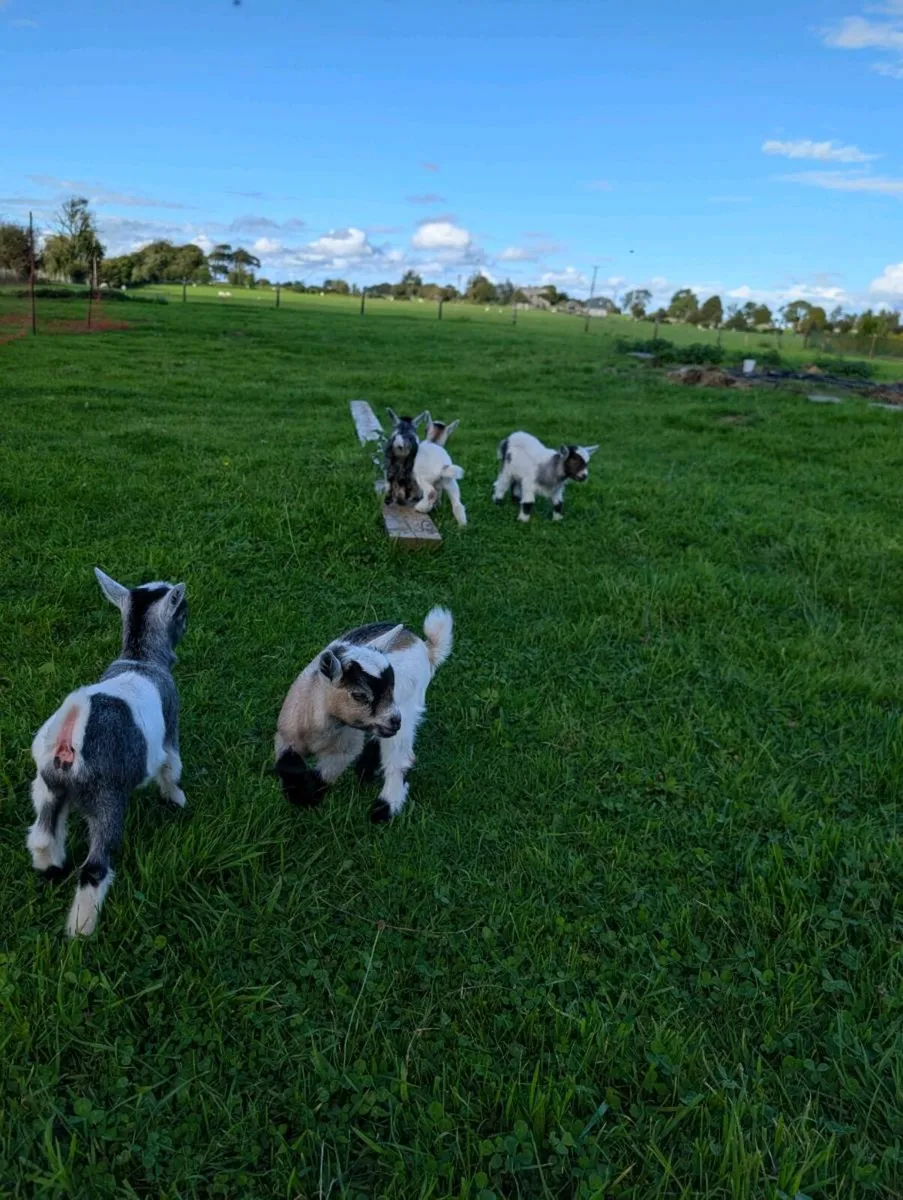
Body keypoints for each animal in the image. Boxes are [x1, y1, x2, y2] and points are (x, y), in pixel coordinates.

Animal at [27, 569, 188, 937]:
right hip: (107, 802)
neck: (141, 659)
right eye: (182, 611)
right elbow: (171, 768)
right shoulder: (171, 728)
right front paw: (176, 798)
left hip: (48, 788)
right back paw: (81, 930)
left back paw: (50, 868)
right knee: (95, 868)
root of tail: (68, 739)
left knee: (42, 836)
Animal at [274, 608, 453, 822]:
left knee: (400, 757)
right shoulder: (285, 735)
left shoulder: (345, 750)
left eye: (392, 687)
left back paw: (383, 809)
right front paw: (295, 793)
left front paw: (308, 797)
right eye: (359, 695)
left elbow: (323, 775)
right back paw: (367, 769)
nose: (395, 721)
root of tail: (425, 646)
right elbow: (287, 765)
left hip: (408, 706)